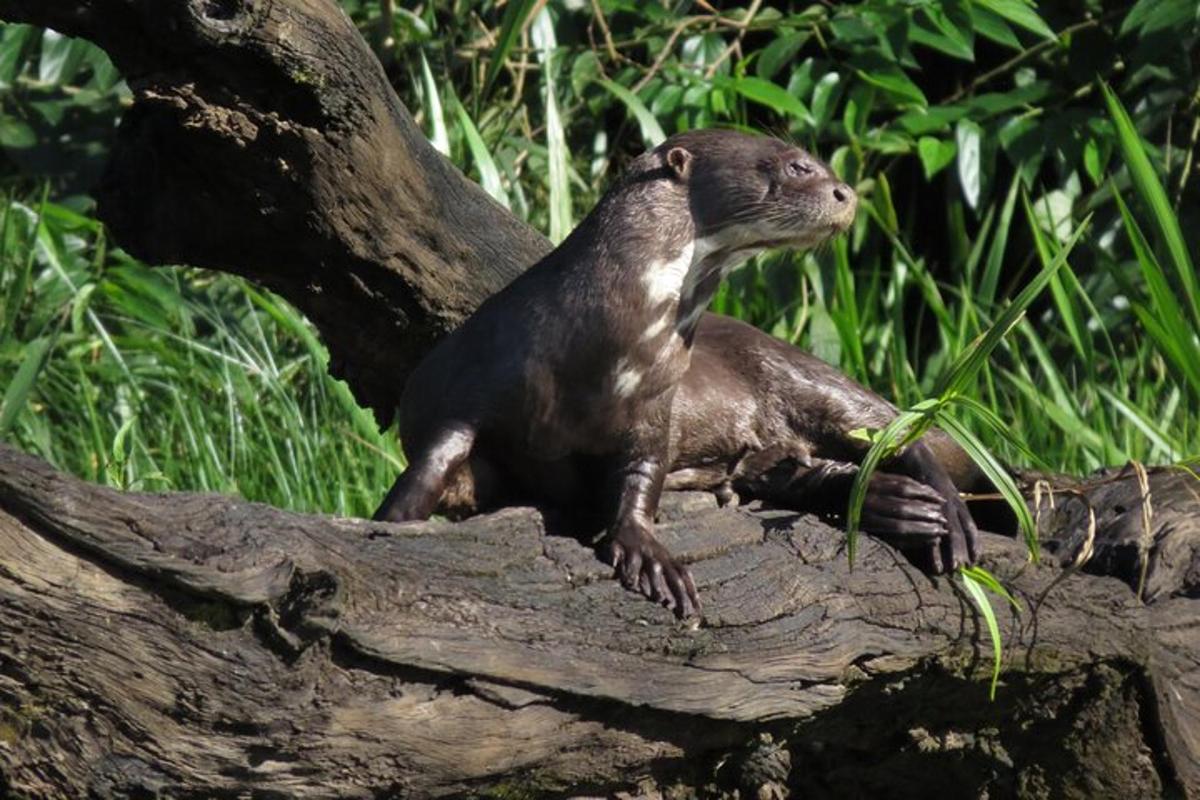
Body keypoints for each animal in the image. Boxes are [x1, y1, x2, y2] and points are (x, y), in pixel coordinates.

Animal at [379, 130, 979, 618]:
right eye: (797, 166)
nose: (847, 194)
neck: (605, 347)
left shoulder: (653, 412)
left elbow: (642, 478)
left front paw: (646, 549)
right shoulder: (469, 389)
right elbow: (433, 462)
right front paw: (394, 517)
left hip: (801, 375)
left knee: (896, 431)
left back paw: (944, 507)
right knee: (804, 470)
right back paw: (896, 504)